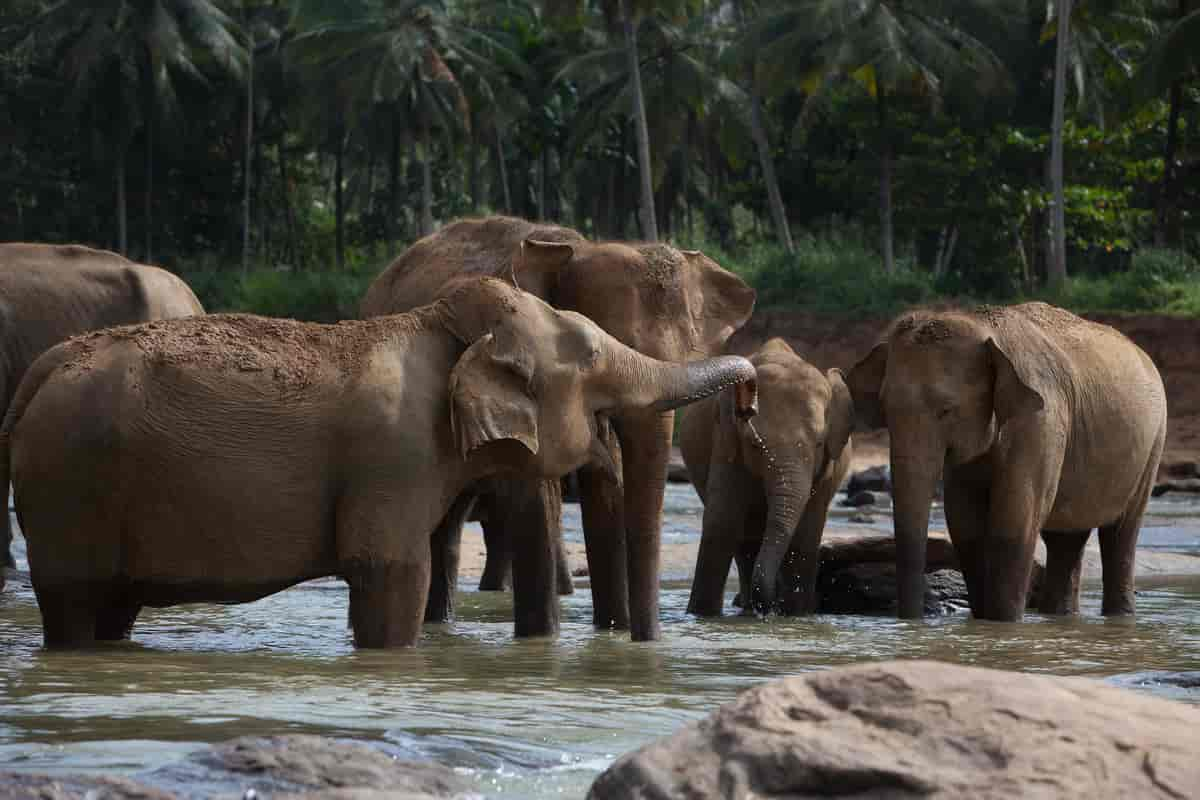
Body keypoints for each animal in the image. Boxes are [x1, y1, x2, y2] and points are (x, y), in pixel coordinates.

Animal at [4, 277, 753, 652]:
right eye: (594, 355)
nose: (747, 394)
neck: (441, 324)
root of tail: (42, 370)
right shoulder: (395, 454)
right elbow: (393, 571)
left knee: (113, 606)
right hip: (70, 482)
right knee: (74, 601)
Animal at [355, 215, 753, 642]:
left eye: (689, 350)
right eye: (605, 345)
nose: (747, 402)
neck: (580, 249)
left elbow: (605, 489)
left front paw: (611, 635)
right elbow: (538, 493)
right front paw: (541, 640)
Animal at [686, 338, 854, 618]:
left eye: (819, 444)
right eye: (754, 445)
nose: (770, 609)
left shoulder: (827, 467)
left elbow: (806, 535)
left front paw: (796, 616)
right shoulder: (726, 438)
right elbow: (722, 521)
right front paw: (702, 616)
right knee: (744, 540)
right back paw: (746, 609)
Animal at [844, 303, 1161, 623]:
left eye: (946, 410)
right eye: (885, 410)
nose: (911, 620)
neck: (983, 325)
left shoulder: (1041, 421)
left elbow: (1014, 518)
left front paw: (1003, 623)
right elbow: (964, 521)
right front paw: (983, 621)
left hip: (1153, 444)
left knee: (1121, 535)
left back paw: (1119, 616)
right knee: (1066, 540)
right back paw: (1060, 617)